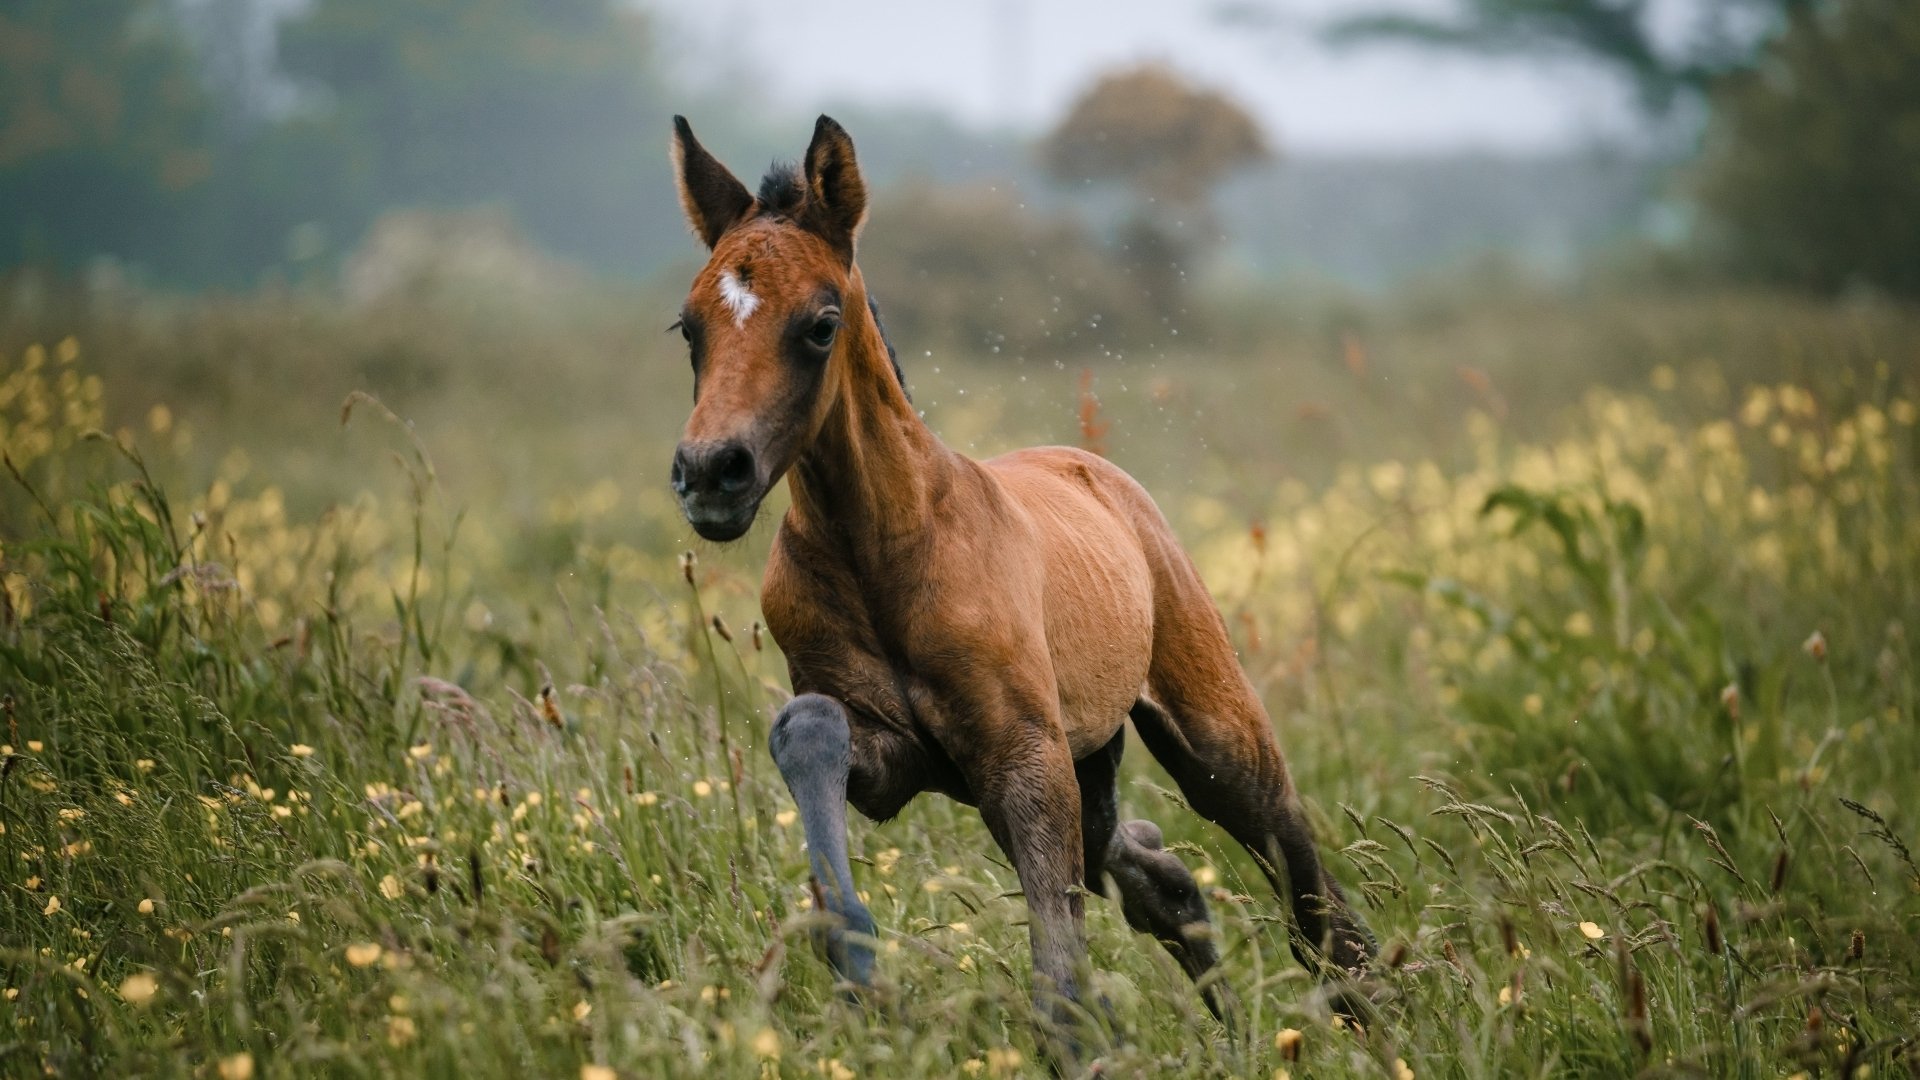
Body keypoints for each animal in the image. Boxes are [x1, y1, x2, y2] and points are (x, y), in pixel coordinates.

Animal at [666, 114, 1373, 1053]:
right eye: (688, 328)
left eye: (820, 324)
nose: (713, 473)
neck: (886, 551)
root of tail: (1094, 469)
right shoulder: (903, 760)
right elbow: (808, 727)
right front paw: (857, 965)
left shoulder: (1024, 757)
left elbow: (1060, 971)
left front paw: (1080, 1041)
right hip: (1082, 766)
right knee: (1158, 874)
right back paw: (1238, 1031)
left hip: (1209, 731)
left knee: (1299, 880)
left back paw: (1374, 1017)